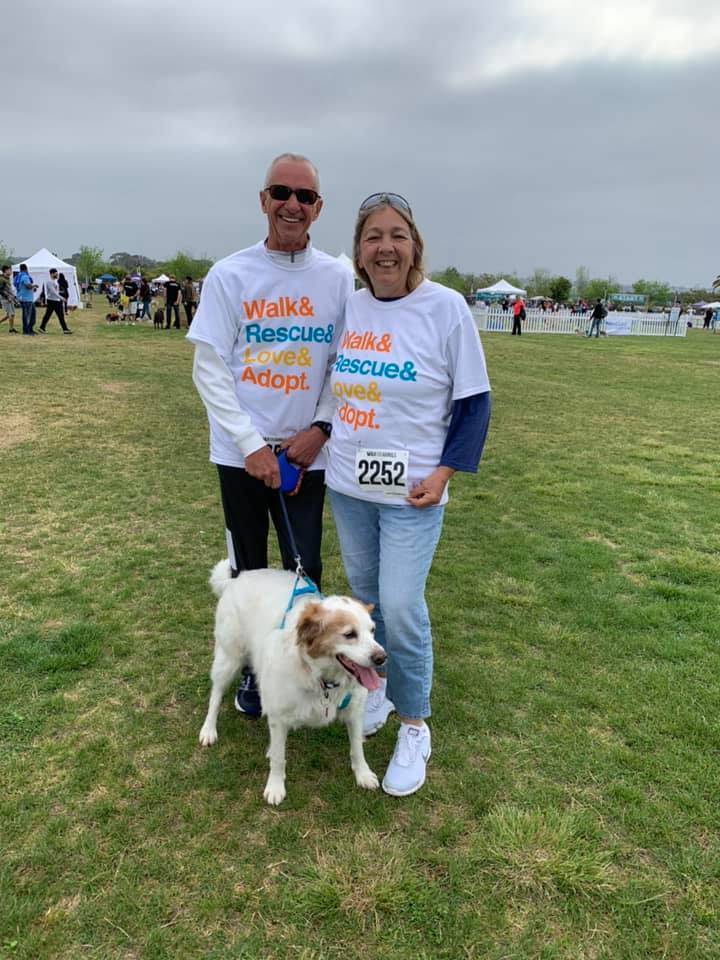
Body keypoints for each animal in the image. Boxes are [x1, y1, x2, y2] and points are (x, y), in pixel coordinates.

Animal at [197, 560, 388, 808]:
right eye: (349, 634)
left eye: (372, 630)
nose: (382, 657)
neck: (320, 678)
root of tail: (237, 579)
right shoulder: (279, 718)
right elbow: (279, 758)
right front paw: (275, 787)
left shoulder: (354, 711)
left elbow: (357, 748)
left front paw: (363, 774)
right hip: (229, 659)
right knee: (215, 696)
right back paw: (208, 730)